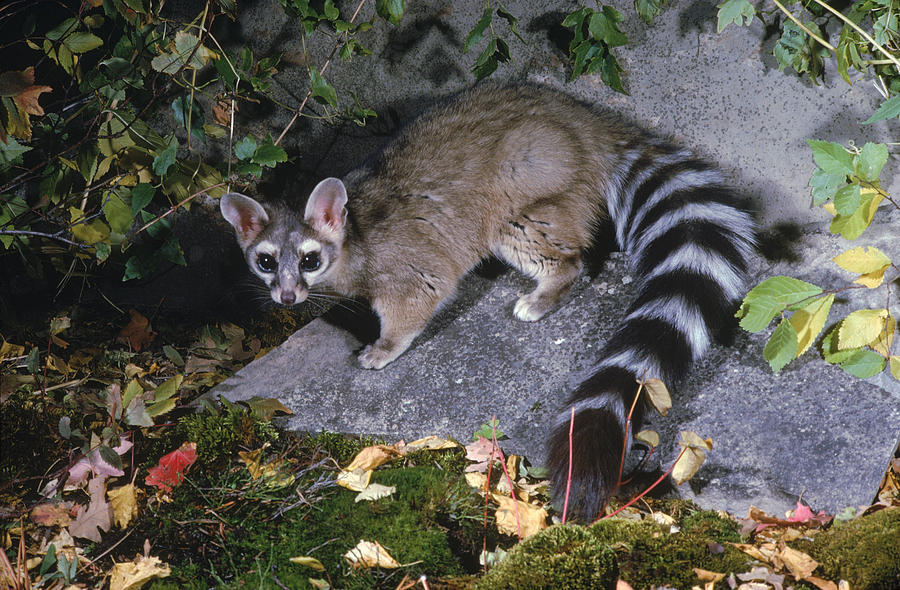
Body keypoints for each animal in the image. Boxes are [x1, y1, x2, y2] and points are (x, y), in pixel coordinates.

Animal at [221, 82, 756, 524]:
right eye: (266, 262)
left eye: (309, 259)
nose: (287, 296)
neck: (351, 233)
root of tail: (586, 120)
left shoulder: (405, 260)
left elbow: (419, 297)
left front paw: (386, 344)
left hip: (523, 182)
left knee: (535, 238)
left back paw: (551, 283)